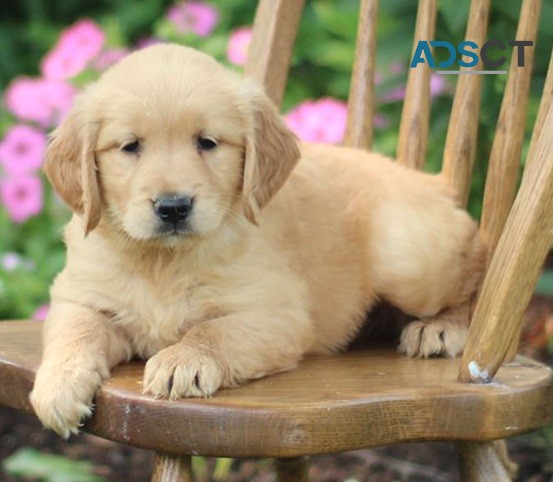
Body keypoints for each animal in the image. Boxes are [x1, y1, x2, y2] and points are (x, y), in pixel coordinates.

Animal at [31, 44, 484, 436]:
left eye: (207, 142)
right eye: (130, 147)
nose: (173, 207)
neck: (164, 260)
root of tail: (436, 181)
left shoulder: (278, 314)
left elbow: (213, 331)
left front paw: (183, 359)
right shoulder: (79, 296)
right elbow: (77, 331)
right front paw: (57, 387)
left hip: (406, 257)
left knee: (477, 269)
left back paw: (441, 328)